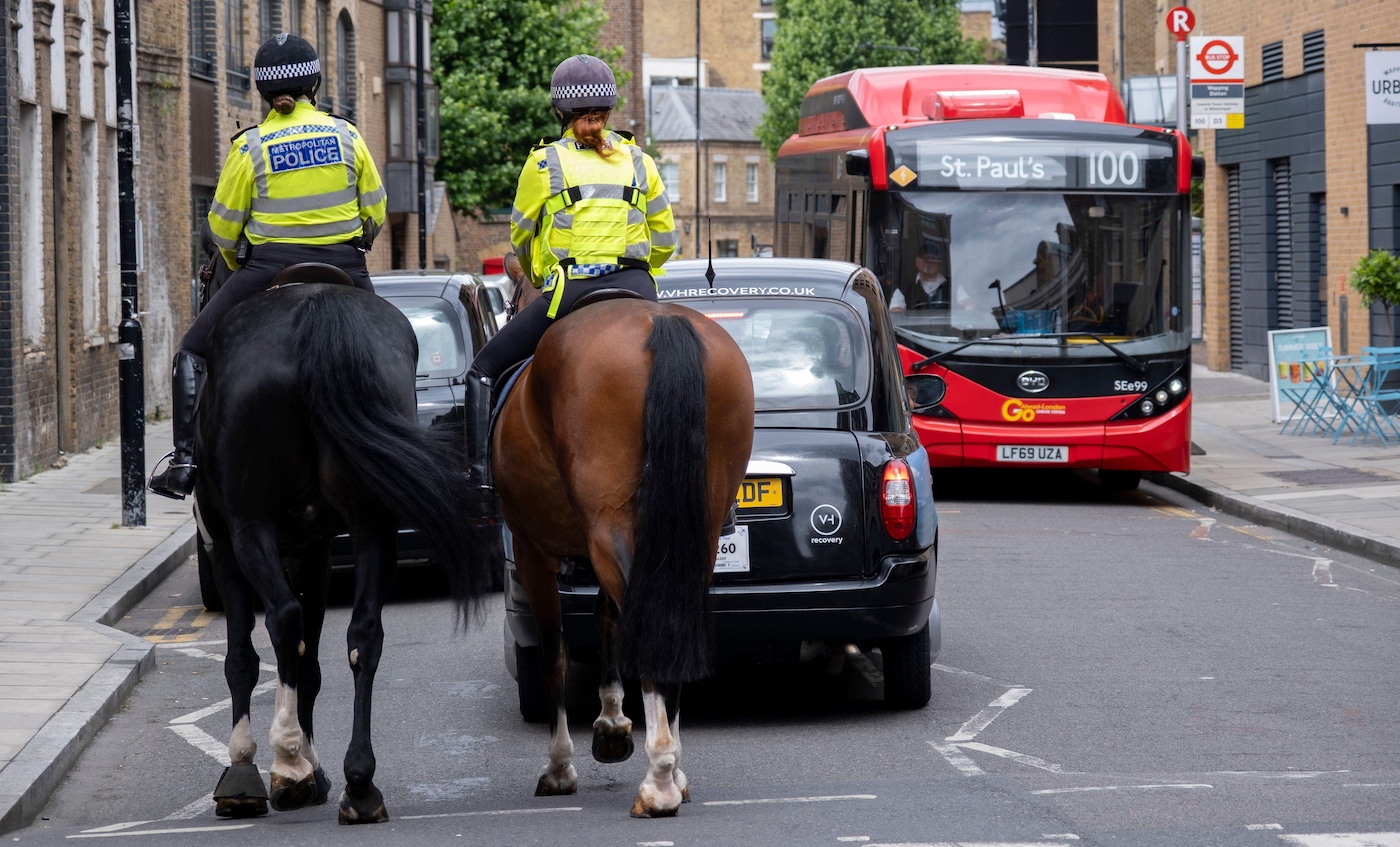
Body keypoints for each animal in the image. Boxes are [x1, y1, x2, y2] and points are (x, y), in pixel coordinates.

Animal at [194, 261, 493, 824]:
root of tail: (315, 307)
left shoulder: (224, 544)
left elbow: (244, 657)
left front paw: (248, 768)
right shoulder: (313, 550)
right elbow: (310, 663)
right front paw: (317, 770)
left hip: (250, 526)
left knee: (283, 618)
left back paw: (287, 760)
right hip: (372, 523)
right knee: (364, 634)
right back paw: (359, 783)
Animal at [489, 278, 756, 817]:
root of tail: (661, 323)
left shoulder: (533, 550)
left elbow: (554, 655)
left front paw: (560, 767)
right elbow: (607, 618)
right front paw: (612, 724)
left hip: (604, 525)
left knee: (647, 623)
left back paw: (658, 781)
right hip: (696, 528)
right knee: (670, 620)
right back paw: (673, 767)